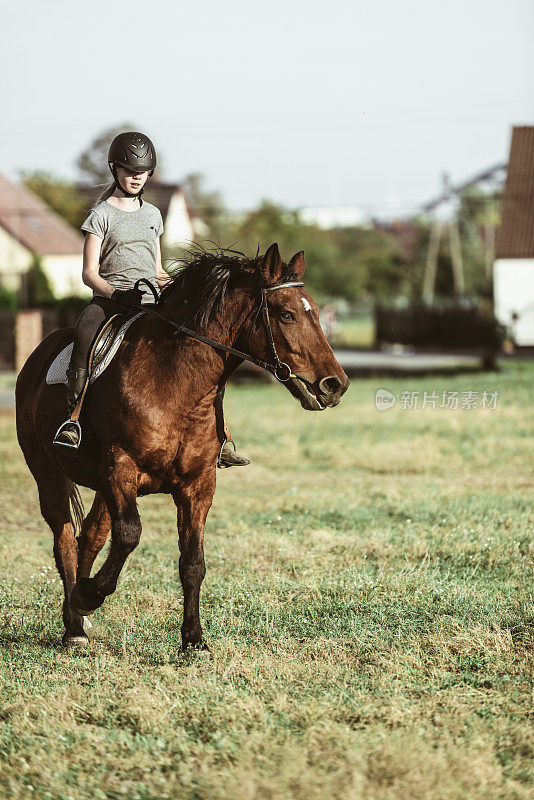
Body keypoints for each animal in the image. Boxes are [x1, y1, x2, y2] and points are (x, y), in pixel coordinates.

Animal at [14, 242, 350, 648]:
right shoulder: (121, 467)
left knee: (90, 536)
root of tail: (36, 358)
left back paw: (78, 615)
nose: (335, 385)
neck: (178, 385)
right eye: (286, 315)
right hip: (49, 474)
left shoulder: (198, 484)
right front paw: (90, 595)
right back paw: (74, 624)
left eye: (314, 311)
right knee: (64, 540)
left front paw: (193, 637)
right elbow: (130, 534)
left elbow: (192, 561)